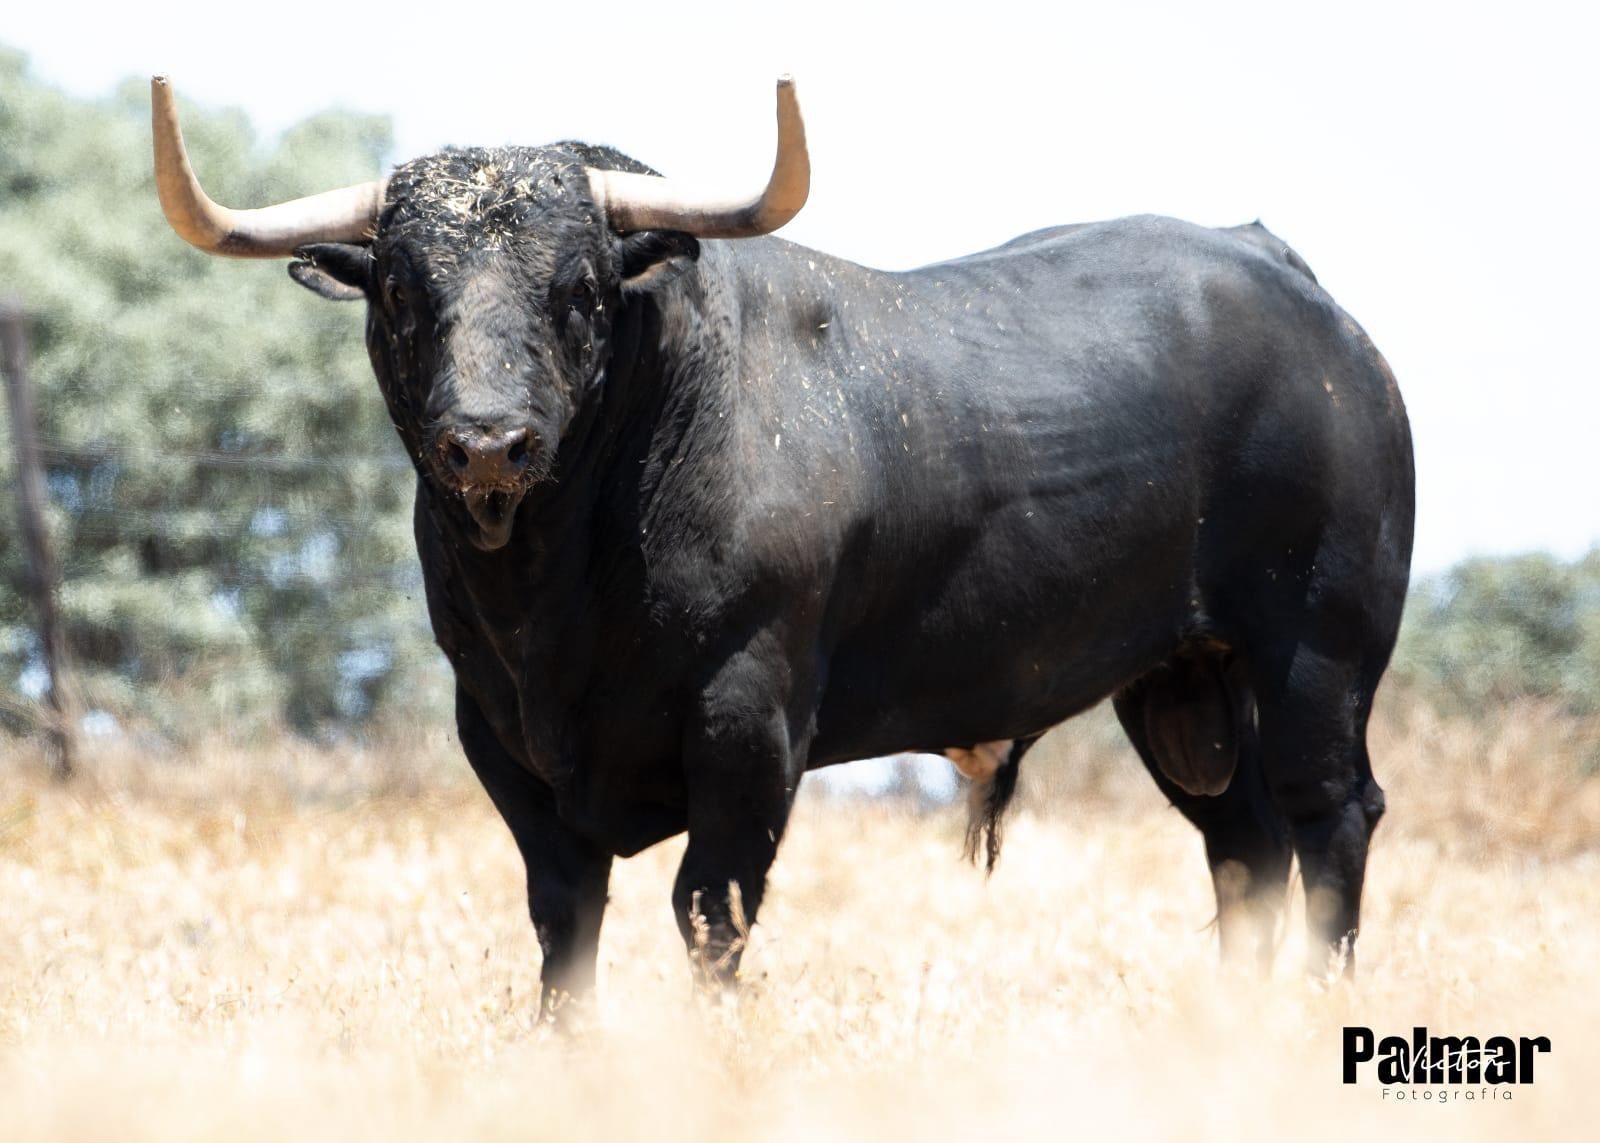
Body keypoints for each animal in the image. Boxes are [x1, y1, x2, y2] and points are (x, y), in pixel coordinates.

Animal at [159, 116, 1414, 998]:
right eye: (403, 289)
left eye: (579, 287)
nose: (487, 441)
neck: (556, 597)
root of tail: (1283, 279)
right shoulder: (500, 734)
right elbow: (565, 922)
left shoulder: (747, 720)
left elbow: (708, 912)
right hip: (1180, 681)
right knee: (1243, 846)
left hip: (1317, 650)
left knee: (1328, 817)